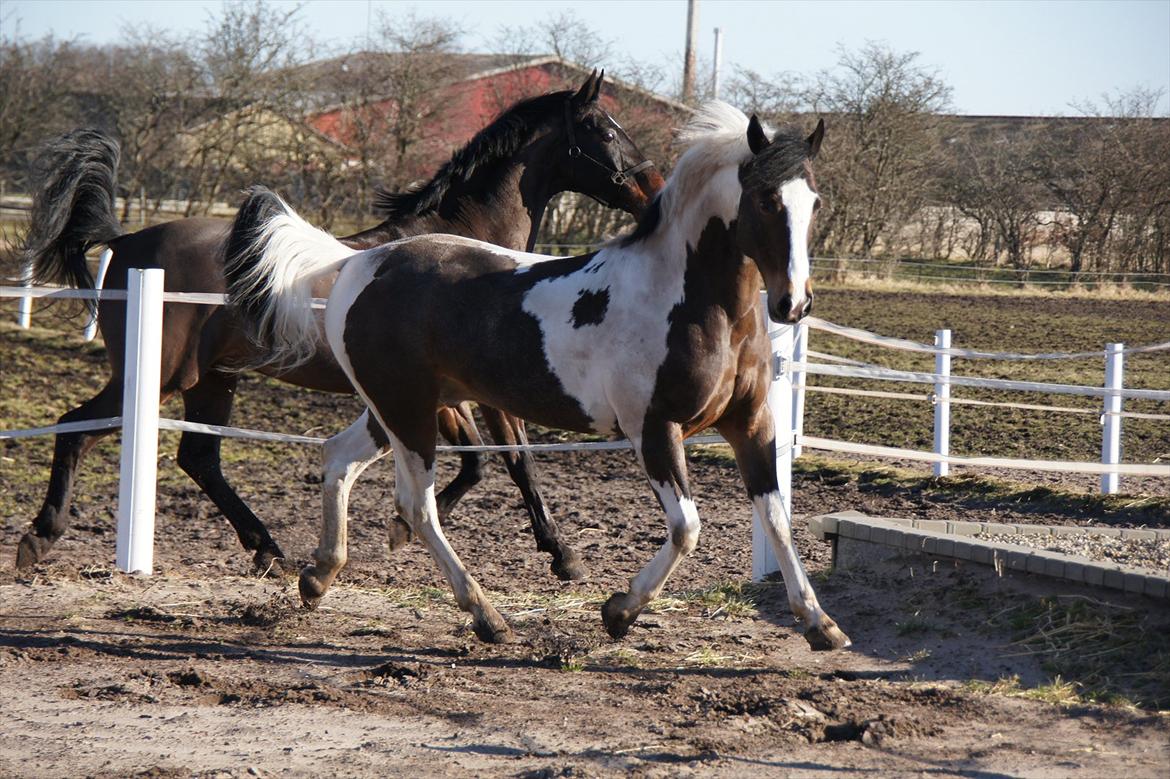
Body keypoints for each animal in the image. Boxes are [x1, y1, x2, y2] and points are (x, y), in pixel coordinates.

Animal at [18, 69, 664, 575]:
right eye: (607, 131)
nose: (654, 189)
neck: (467, 255)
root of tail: (125, 240)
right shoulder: (477, 393)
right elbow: (515, 460)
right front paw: (564, 556)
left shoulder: (443, 395)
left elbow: (475, 463)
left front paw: (402, 530)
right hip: (160, 375)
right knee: (77, 427)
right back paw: (40, 537)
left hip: (214, 378)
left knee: (198, 459)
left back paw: (269, 550)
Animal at [223, 101, 851, 650]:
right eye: (765, 200)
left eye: (816, 202)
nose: (794, 304)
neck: (691, 302)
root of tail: (356, 262)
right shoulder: (654, 429)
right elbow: (687, 528)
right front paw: (619, 611)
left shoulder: (751, 423)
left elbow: (777, 518)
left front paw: (821, 624)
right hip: (407, 413)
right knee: (417, 507)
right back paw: (486, 616)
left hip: (401, 408)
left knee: (338, 459)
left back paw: (318, 577)